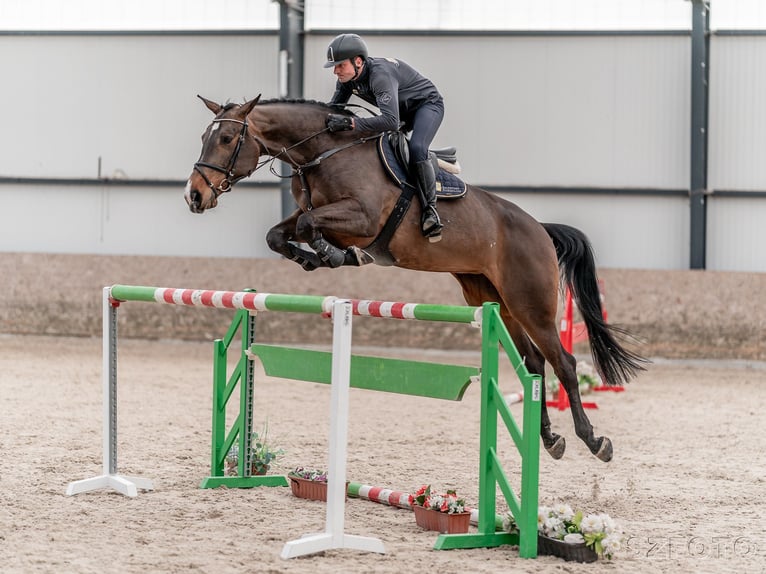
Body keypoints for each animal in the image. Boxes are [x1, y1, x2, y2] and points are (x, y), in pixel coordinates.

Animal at [186, 94, 648, 464]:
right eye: (205, 136)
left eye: (226, 140)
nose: (195, 195)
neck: (325, 153)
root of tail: (540, 229)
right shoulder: (313, 212)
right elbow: (281, 233)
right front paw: (314, 258)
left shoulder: (362, 218)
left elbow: (308, 226)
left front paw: (336, 255)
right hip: (492, 300)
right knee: (533, 364)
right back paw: (550, 438)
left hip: (530, 303)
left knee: (563, 364)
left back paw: (594, 442)